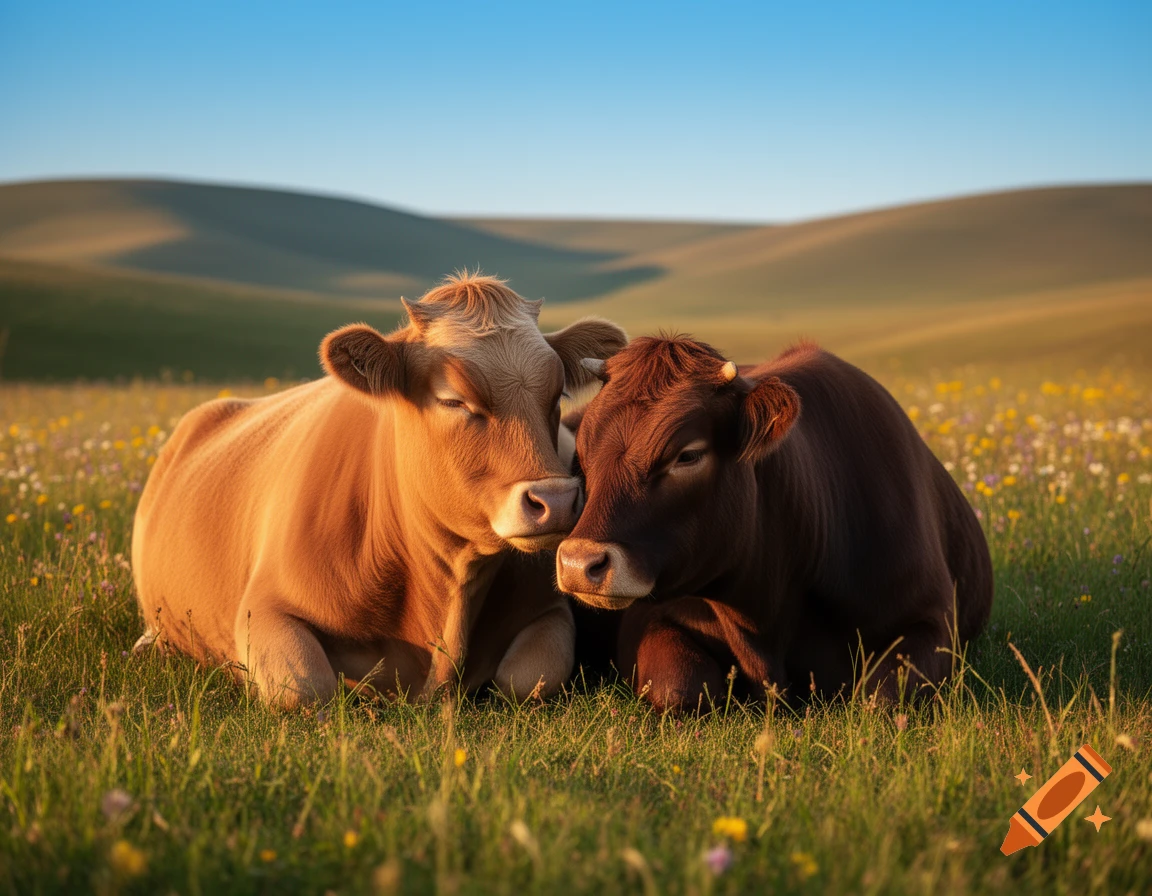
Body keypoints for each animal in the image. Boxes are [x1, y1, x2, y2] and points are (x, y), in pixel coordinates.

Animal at [131, 273, 627, 708]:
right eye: (452, 399)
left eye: (557, 395)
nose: (556, 501)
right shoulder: (264, 608)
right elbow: (305, 689)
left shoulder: (550, 611)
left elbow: (528, 680)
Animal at [556, 336, 993, 712]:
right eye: (582, 451)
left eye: (688, 455)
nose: (579, 563)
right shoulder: (652, 618)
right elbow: (680, 686)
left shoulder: (932, 621)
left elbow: (881, 697)